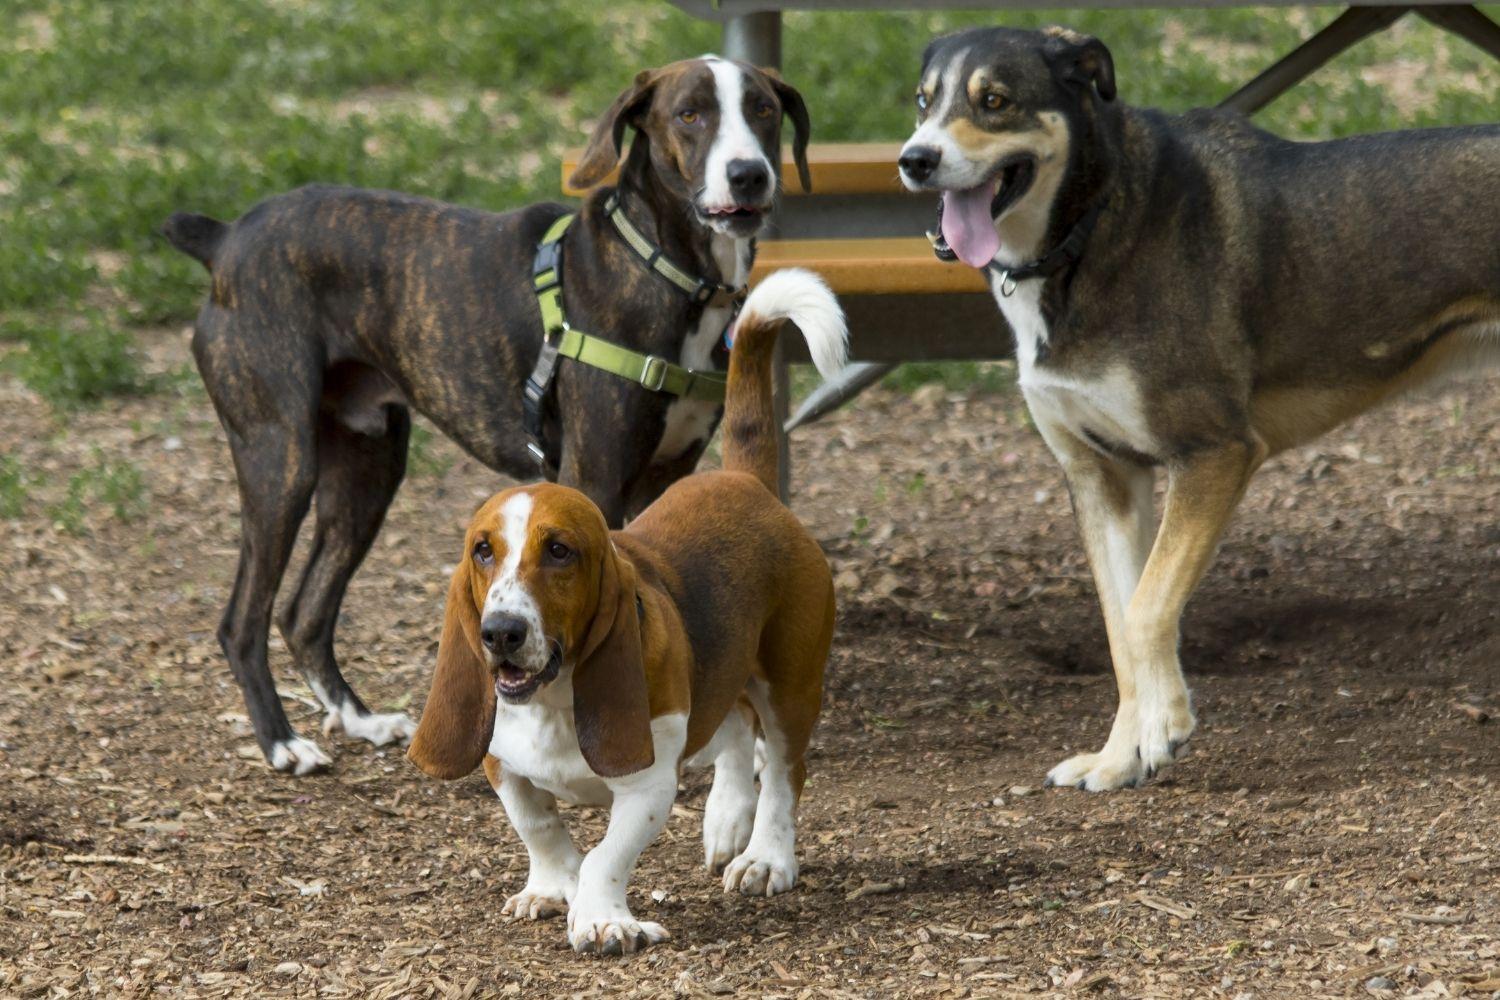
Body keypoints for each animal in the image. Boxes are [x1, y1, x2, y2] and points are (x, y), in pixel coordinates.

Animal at [165, 58, 816, 779]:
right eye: (690, 114)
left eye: (762, 109)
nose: (748, 174)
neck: (667, 269)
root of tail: (226, 239)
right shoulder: (595, 476)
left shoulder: (666, 474)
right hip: (280, 458)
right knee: (242, 619)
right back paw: (281, 742)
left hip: (369, 466)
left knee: (305, 613)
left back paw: (360, 719)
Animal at [894, 23, 1494, 791]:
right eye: (923, 102)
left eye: (994, 100)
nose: (914, 160)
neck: (1093, 224)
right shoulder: (1105, 478)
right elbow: (1121, 628)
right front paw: (1119, 757)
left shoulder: (1212, 454)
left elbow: (1148, 609)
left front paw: (1165, 731)